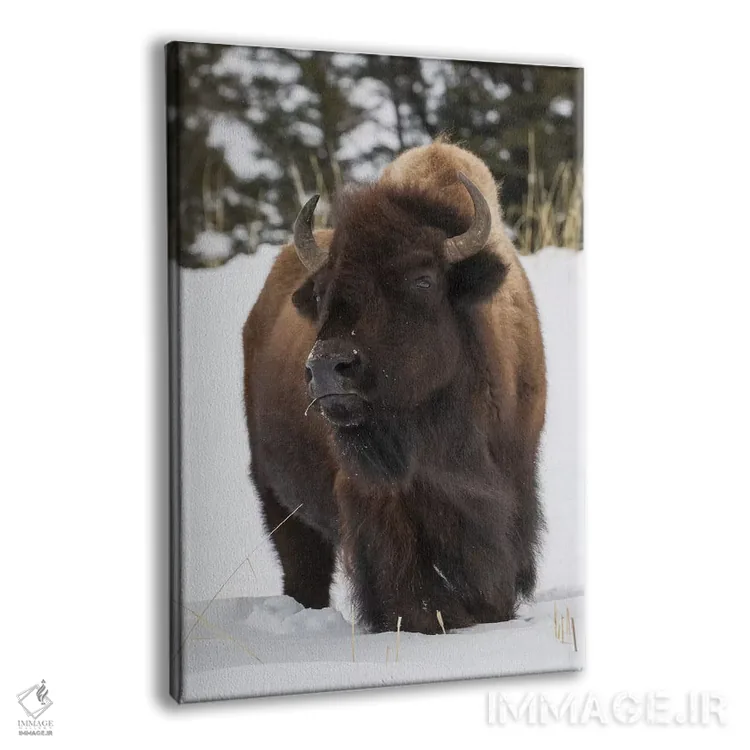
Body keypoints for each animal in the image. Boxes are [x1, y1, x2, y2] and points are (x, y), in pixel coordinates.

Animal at [243, 140, 547, 634]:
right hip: (278, 502)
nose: (327, 367)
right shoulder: (377, 500)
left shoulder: (510, 485)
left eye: (423, 279)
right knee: (304, 570)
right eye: (323, 290)